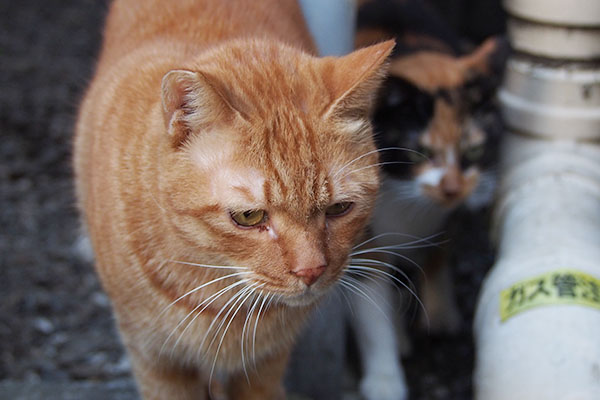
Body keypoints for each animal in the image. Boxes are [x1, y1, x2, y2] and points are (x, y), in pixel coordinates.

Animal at [346, 0, 506, 400]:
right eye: (418, 152)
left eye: (474, 150)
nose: (452, 188)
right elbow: (372, 310)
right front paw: (385, 381)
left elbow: (439, 249)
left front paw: (440, 312)